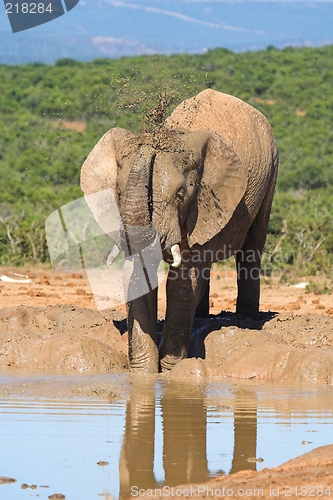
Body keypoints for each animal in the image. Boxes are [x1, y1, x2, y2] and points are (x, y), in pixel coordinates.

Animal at [80, 88, 278, 374]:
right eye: (117, 193)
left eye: (181, 194)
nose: (150, 142)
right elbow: (137, 276)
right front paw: (144, 374)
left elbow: (183, 280)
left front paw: (171, 369)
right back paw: (202, 317)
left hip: (271, 172)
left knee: (251, 249)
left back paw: (246, 320)